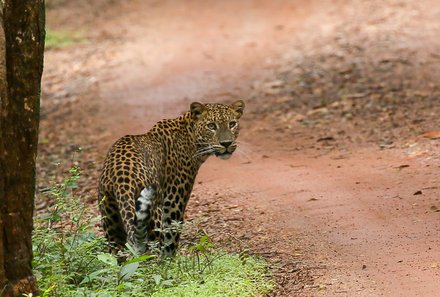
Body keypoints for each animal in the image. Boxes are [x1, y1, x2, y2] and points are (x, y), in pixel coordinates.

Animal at [96, 100, 246, 256]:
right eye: (211, 126)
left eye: (232, 124)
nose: (227, 143)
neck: (191, 138)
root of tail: (121, 176)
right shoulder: (173, 203)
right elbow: (170, 240)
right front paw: (171, 260)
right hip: (153, 214)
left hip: (111, 220)